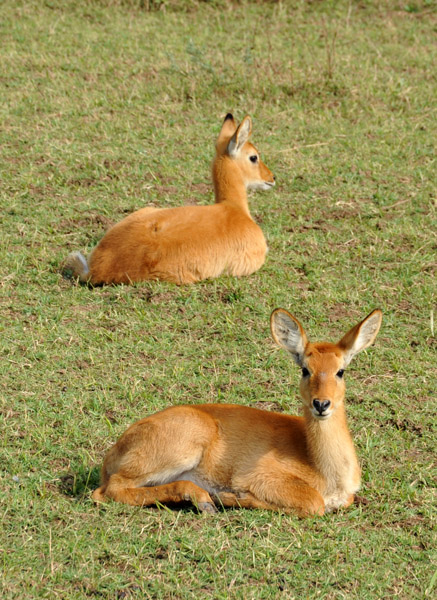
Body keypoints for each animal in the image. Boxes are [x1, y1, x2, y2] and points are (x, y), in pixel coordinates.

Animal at [93, 310, 382, 516]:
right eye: (305, 369)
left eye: (340, 370)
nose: (321, 404)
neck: (325, 469)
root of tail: (115, 451)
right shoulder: (261, 476)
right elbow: (313, 502)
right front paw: (233, 497)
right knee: (107, 490)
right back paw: (204, 499)